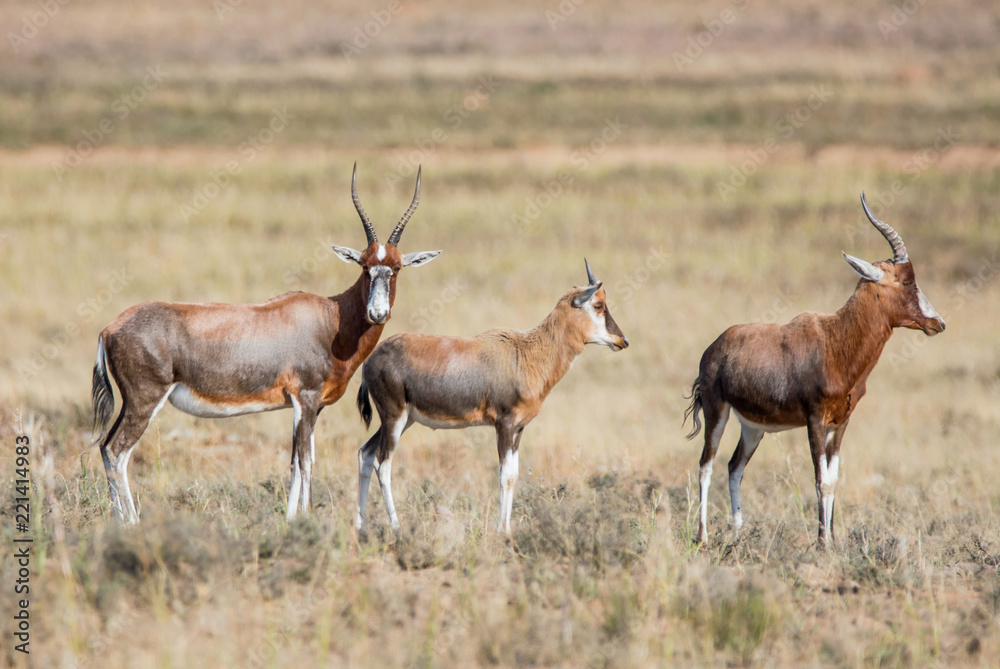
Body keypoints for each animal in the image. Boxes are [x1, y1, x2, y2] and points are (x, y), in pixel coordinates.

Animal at [90, 164, 441, 524]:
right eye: (365, 266)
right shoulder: (306, 399)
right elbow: (306, 461)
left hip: (131, 404)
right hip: (145, 401)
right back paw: (131, 523)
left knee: (104, 447)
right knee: (117, 451)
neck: (331, 318)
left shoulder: (305, 407)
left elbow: (295, 463)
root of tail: (109, 328)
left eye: (396, 267)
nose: (377, 313)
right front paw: (305, 520)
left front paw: (290, 521)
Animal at [354, 259, 629, 536]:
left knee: (365, 454)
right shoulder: (503, 424)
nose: (622, 340)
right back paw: (396, 529)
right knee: (383, 464)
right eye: (598, 305)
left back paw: (361, 528)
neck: (524, 352)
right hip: (394, 418)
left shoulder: (518, 429)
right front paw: (501, 532)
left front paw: (506, 530)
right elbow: (503, 475)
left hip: (402, 420)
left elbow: (513, 475)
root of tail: (371, 359)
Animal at [684, 194, 945, 548]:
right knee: (706, 466)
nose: (938, 323)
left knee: (734, 467)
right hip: (717, 411)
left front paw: (832, 540)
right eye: (907, 281)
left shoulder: (841, 423)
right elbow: (820, 480)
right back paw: (703, 537)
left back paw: (737, 536)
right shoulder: (814, 420)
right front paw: (822, 543)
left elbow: (833, 481)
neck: (834, 340)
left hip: (753, 427)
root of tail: (715, 347)